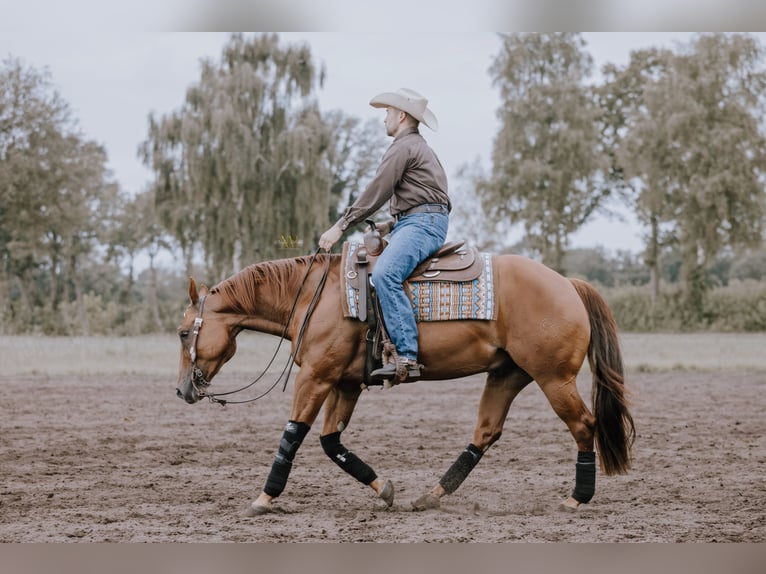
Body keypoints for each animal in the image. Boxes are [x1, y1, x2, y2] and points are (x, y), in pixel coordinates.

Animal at [176, 252, 636, 516]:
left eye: (183, 333)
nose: (182, 390)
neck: (314, 297)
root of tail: (568, 284)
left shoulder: (316, 378)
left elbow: (292, 434)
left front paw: (264, 498)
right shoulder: (345, 384)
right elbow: (330, 442)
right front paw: (384, 490)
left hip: (553, 378)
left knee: (583, 425)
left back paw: (578, 497)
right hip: (507, 374)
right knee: (485, 433)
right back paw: (431, 495)